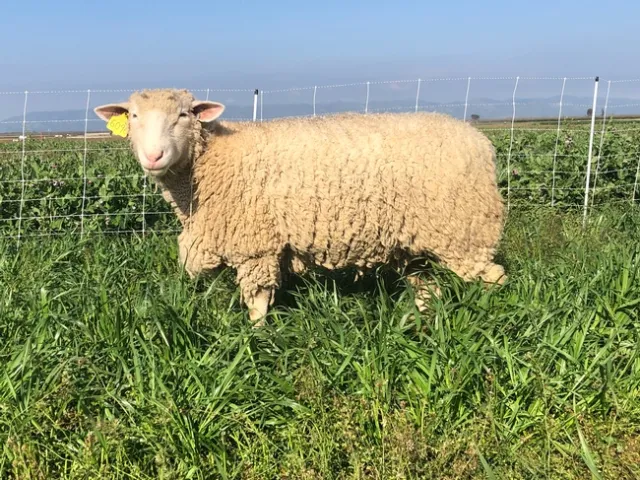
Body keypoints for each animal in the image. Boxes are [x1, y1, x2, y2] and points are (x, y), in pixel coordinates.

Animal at [94, 88, 507, 325]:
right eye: (133, 116)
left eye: (183, 114)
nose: (154, 156)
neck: (209, 164)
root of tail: (480, 141)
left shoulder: (256, 244)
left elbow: (257, 302)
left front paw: (254, 342)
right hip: (419, 240)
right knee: (427, 287)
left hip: (465, 231)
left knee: (494, 278)